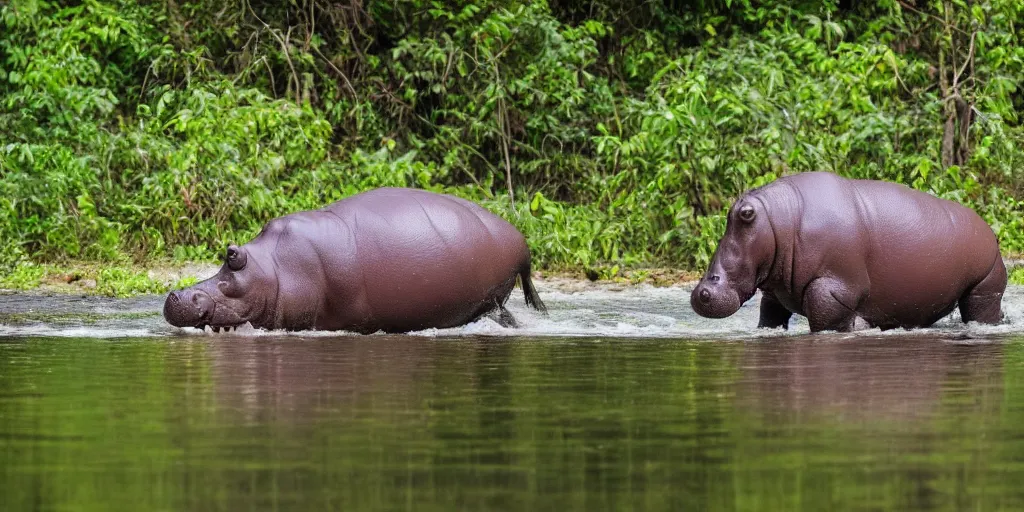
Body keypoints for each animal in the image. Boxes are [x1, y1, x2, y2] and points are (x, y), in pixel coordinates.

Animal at [692, 172, 1003, 331]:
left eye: (745, 215)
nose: (700, 293)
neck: (779, 219)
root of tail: (988, 230)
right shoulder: (774, 294)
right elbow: (769, 317)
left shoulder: (832, 293)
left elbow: (825, 319)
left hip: (984, 289)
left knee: (980, 311)